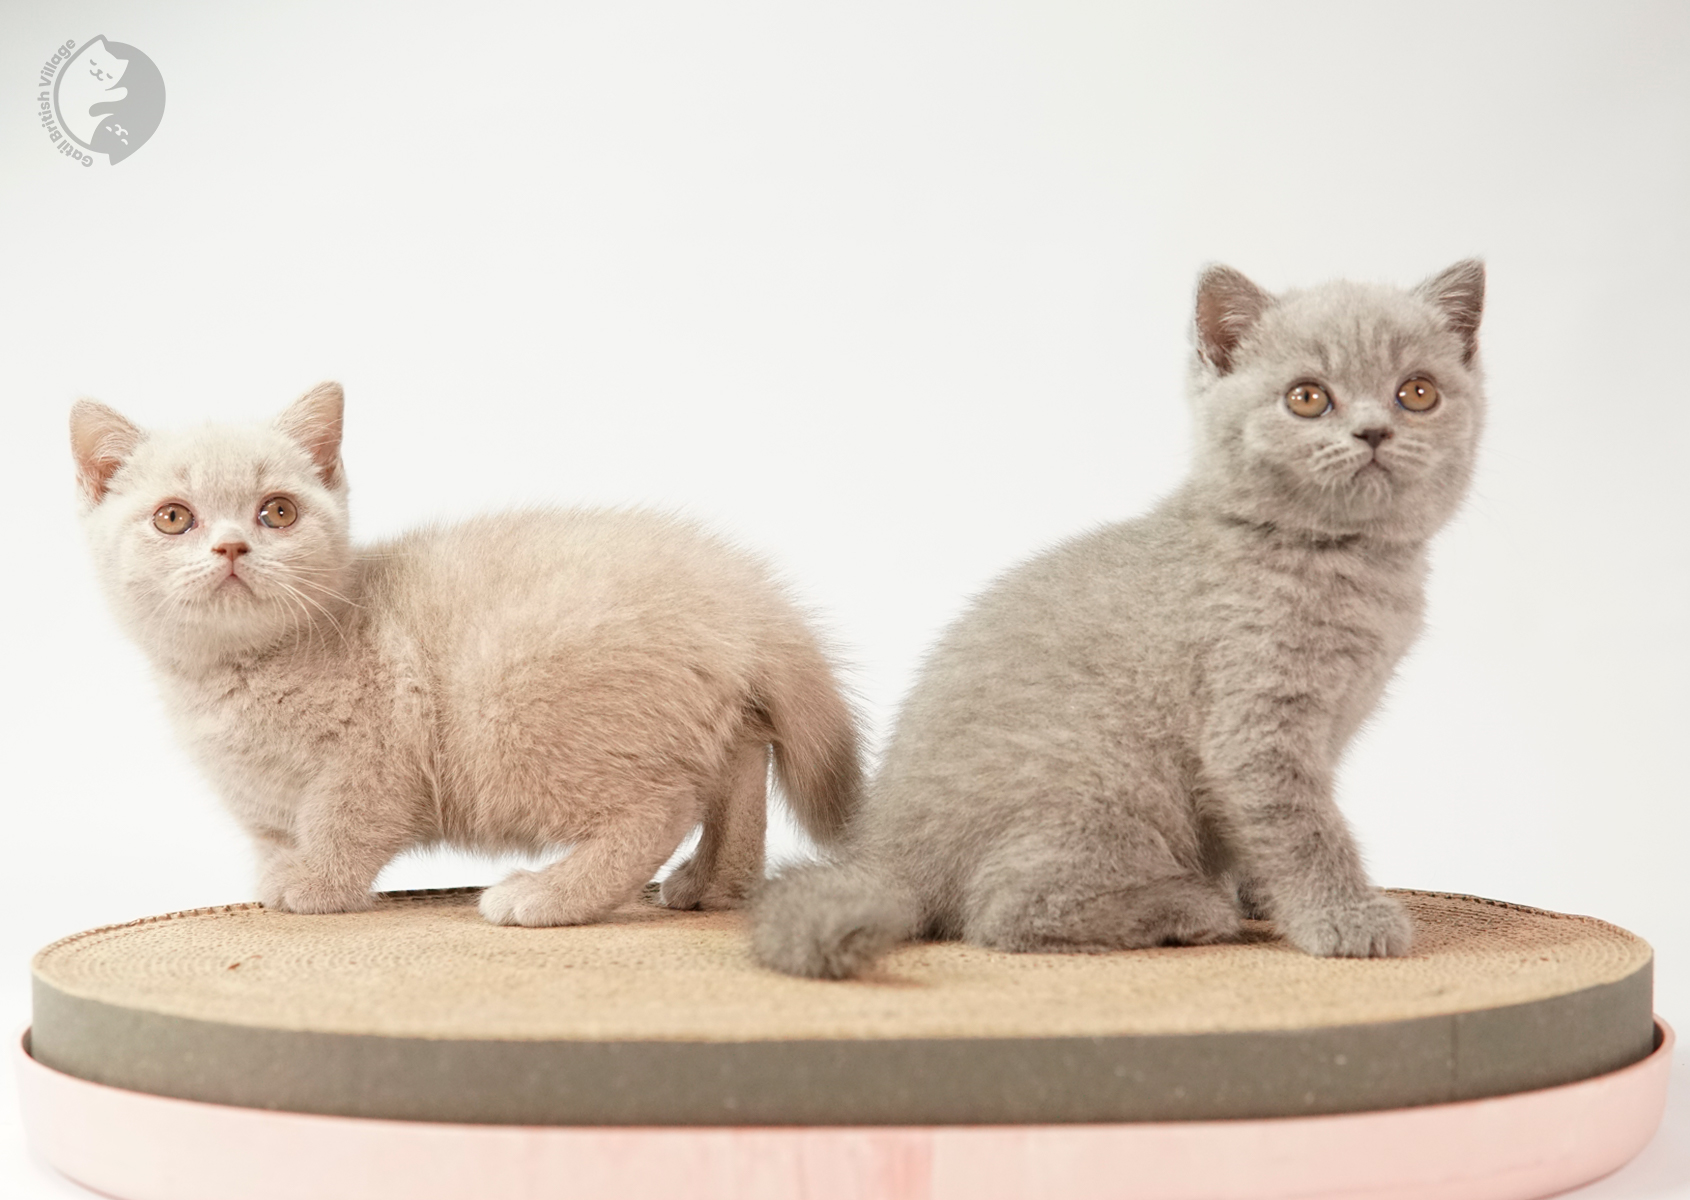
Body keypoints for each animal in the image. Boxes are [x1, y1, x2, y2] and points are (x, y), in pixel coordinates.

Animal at [69, 380, 858, 926]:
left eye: (278, 512)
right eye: (174, 518)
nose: (232, 547)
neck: (236, 673)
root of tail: (741, 595)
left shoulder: (377, 753)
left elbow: (343, 822)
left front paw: (317, 886)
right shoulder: (259, 803)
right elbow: (276, 840)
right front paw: (278, 879)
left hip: (516, 713)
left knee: (660, 807)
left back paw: (550, 896)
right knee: (740, 764)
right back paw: (713, 884)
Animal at [760, 260, 1487, 980]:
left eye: (1417, 392)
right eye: (1307, 398)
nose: (1374, 431)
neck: (1342, 561)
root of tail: (885, 853)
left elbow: (1268, 828)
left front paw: (1267, 894)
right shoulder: (1253, 726)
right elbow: (1305, 827)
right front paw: (1344, 917)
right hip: (1112, 779)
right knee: (1002, 914)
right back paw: (1188, 908)